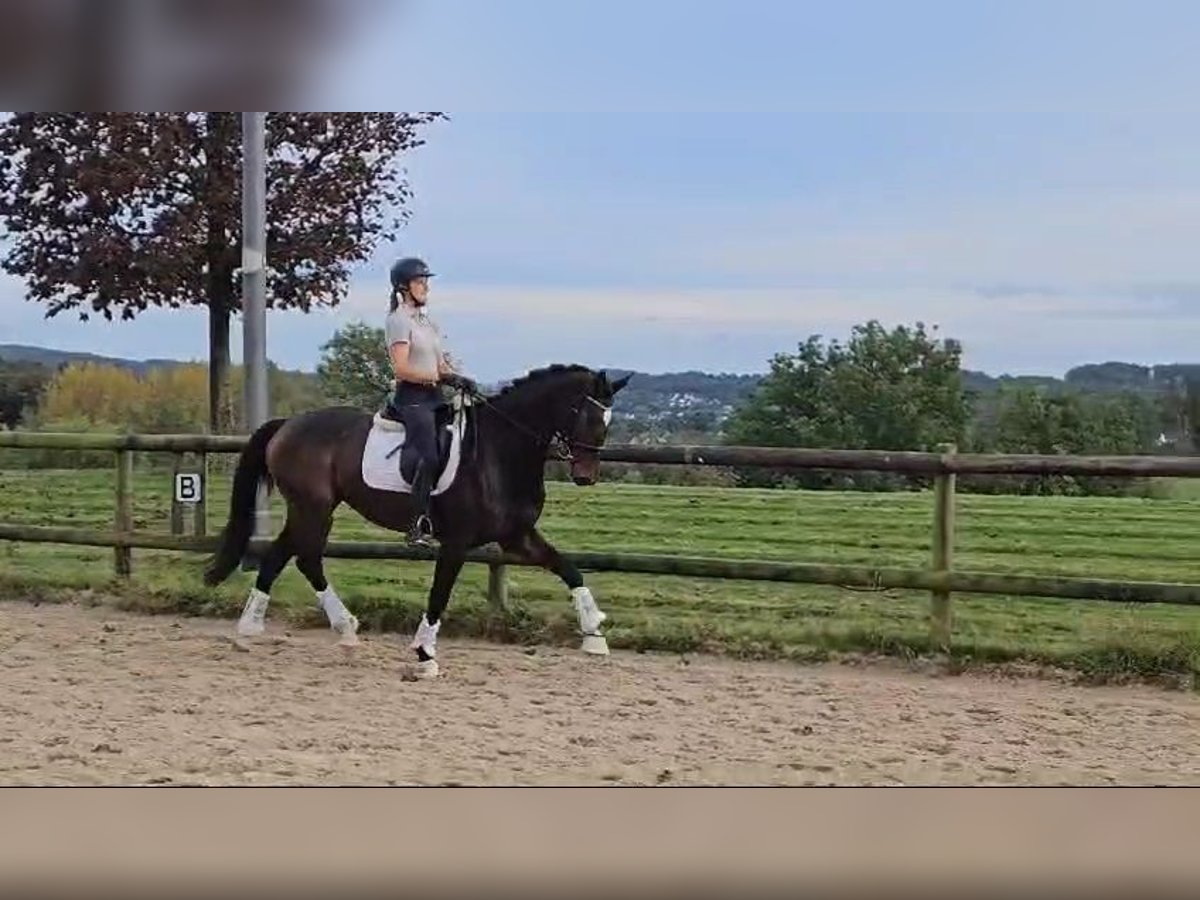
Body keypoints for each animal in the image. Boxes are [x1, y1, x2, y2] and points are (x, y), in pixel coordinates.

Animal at [201, 362, 633, 681]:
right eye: (587, 414)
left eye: (609, 419)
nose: (586, 475)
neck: (499, 452)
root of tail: (288, 424)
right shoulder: (458, 542)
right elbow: (439, 595)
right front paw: (425, 655)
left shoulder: (516, 536)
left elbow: (569, 569)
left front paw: (594, 634)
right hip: (314, 507)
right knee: (305, 557)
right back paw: (329, 627)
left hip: (311, 508)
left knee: (283, 554)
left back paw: (258, 628)